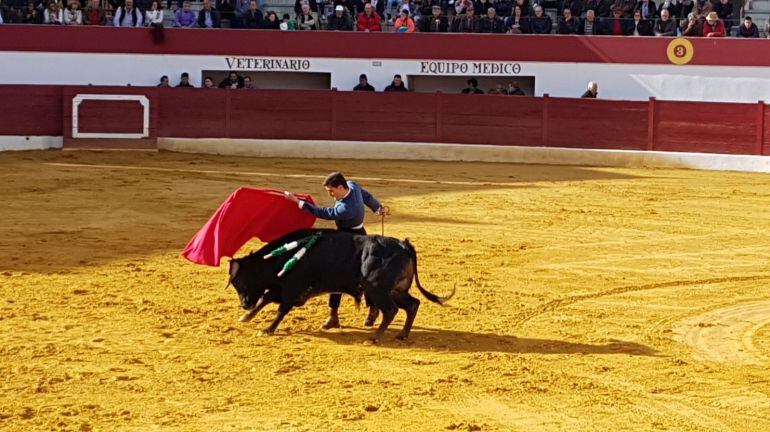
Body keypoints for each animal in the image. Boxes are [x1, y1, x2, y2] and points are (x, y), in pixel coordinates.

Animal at [222, 228, 452, 342]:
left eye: (239, 280)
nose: (244, 304)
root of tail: (404, 245)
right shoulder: (282, 288)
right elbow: (265, 298)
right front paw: (246, 317)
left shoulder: (292, 288)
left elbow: (280, 309)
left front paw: (267, 329)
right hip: (396, 290)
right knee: (412, 304)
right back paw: (402, 334)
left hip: (376, 289)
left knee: (390, 310)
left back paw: (374, 338)